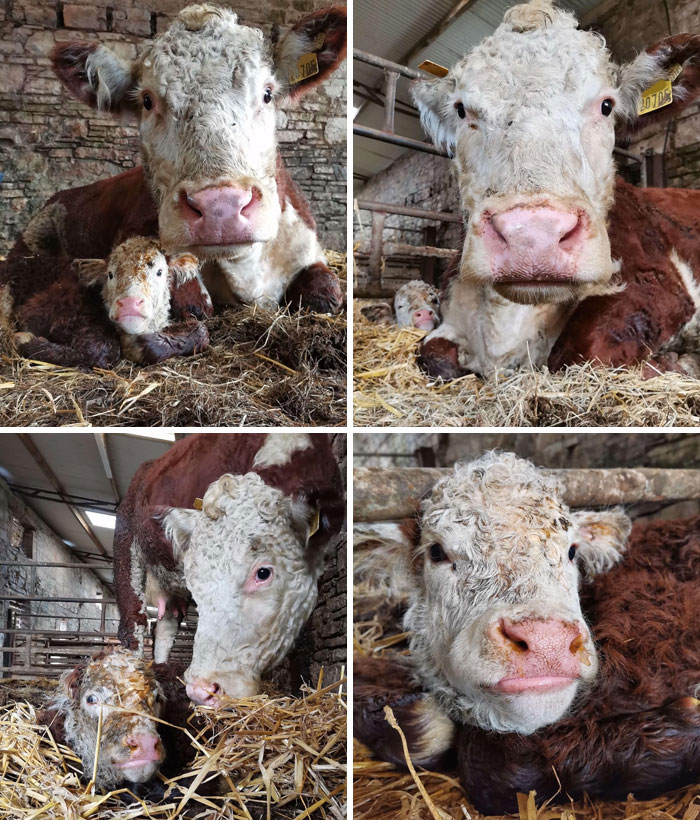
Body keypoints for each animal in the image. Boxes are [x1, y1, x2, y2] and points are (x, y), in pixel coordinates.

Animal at [5, 237, 209, 369]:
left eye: (160, 272)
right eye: (110, 275)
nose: (129, 303)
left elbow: (202, 330)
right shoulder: (36, 314)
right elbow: (102, 351)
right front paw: (24, 339)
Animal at [113, 433, 344, 706]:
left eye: (263, 573)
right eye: (195, 582)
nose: (201, 690)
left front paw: (300, 690)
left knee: (165, 627)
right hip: (126, 551)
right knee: (133, 625)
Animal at [409, 0, 700, 380]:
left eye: (607, 105)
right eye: (461, 110)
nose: (533, 236)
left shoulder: (659, 285)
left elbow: (578, 352)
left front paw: (673, 364)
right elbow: (432, 355)